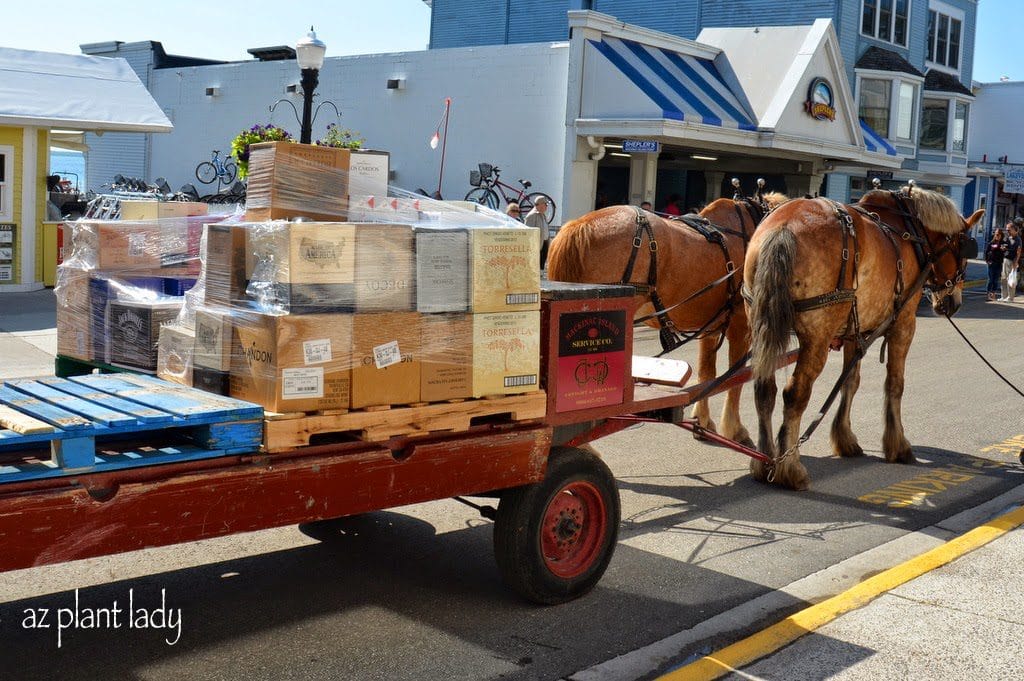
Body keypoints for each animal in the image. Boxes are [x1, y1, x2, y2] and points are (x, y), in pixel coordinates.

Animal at [548, 192, 786, 446]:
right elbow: (736, 377)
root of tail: (581, 224)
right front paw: (735, 430)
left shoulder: (710, 328)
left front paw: (702, 422)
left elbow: (707, 374)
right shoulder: (741, 327)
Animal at [745, 186, 983, 489]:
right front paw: (898, 445)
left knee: (764, 389)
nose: (953, 303)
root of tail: (784, 227)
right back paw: (790, 467)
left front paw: (844, 438)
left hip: (759, 325)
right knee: (795, 394)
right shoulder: (904, 323)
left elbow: (850, 382)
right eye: (963, 249)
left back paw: (764, 462)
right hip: (816, 337)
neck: (910, 231)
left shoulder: (851, 330)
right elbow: (895, 384)